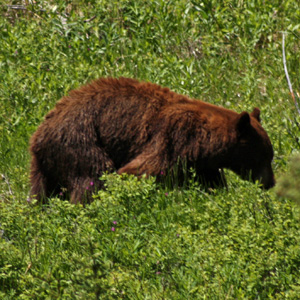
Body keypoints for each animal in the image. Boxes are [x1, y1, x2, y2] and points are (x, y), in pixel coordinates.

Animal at [29, 77, 276, 204]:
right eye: (263, 157)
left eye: (270, 155)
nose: (270, 182)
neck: (205, 142)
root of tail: (39, 135)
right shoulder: (174, 137)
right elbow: (143, 168)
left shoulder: (200, 163)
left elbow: (211, 181)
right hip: (80, 140)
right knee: (91, 177)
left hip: (44, 165)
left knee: (40, 192)